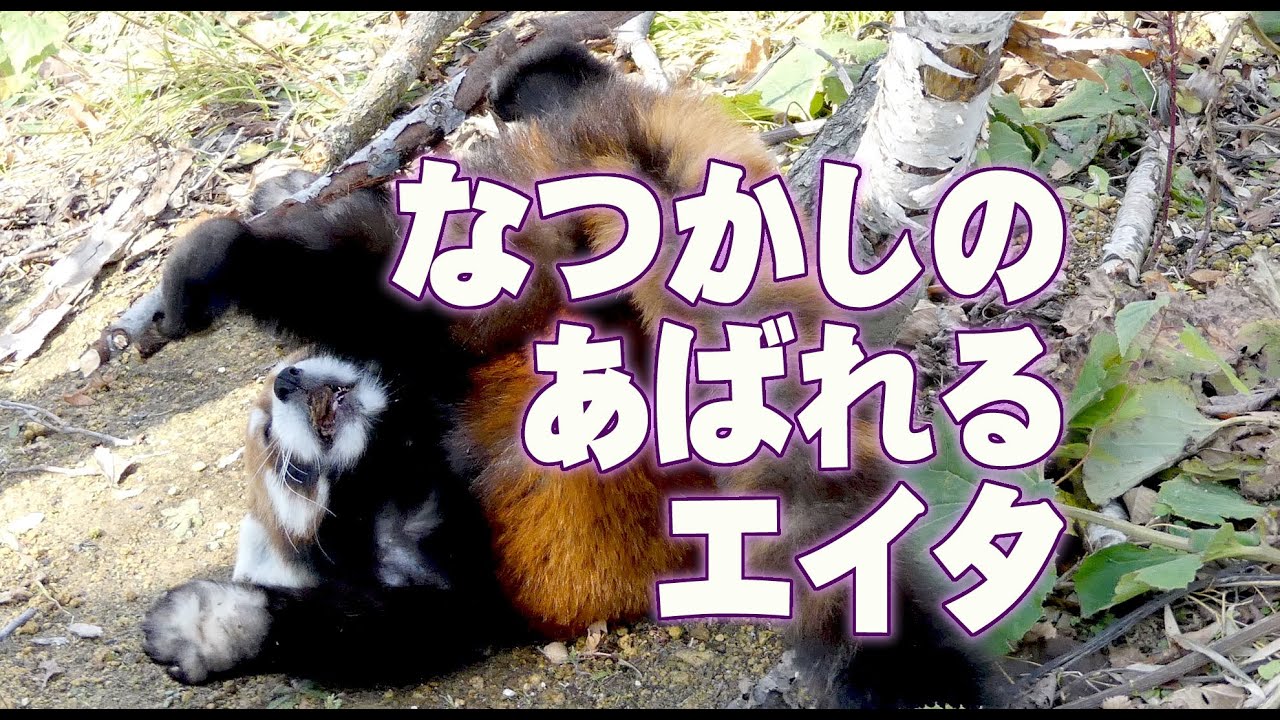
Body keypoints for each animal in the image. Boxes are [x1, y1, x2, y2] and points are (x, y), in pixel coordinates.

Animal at [141, 35, 999, 708]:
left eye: (284, 456)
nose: (288, 386)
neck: (400, 469)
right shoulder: (460, 582)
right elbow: (399, 631)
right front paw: (219, 631)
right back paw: (548, 73)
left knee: (414, 284)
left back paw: (223, 257)